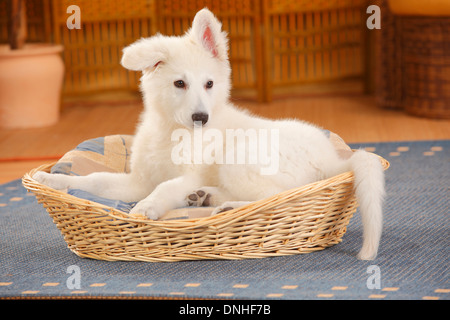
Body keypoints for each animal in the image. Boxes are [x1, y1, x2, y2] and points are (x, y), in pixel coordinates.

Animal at [36, 8, 386, 260]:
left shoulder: (187, 174)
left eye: (209, 84)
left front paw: (146, 208)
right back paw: (207, 198)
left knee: (275, 197)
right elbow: (94, 180)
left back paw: (226, 206)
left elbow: (166, 187)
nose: (201, 118)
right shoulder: (137, 180)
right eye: (179, 83)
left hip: (241, 157)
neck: (174, 132)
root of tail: (334, 160)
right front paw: (52, 180)